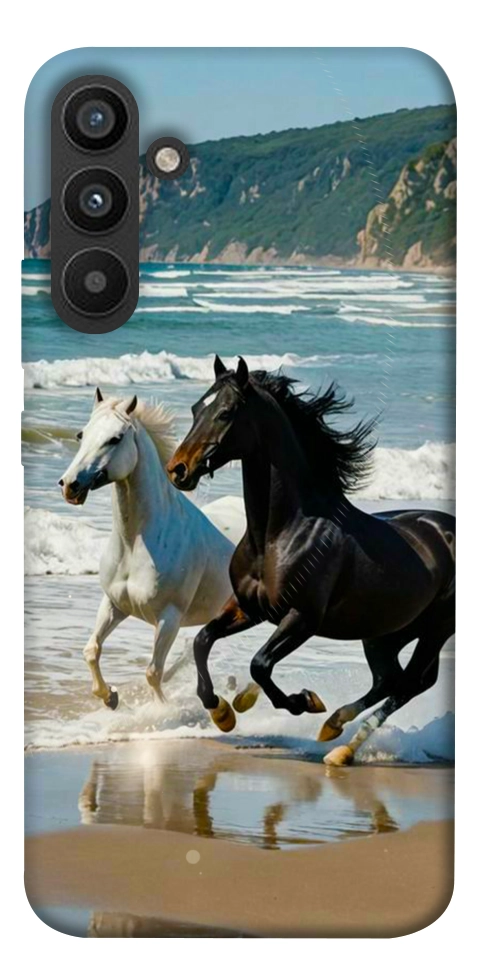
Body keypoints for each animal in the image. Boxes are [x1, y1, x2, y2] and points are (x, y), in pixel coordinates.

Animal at [59, 388, 234, 709]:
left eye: (115, 438)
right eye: (81, 434)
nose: (70, 485)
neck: (135, 544)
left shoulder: (169, 618)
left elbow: (153, 672)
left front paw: (161, 711)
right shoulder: (114, 604)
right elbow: (91, 650)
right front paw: (110, 697)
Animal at [166, 356, 455, 765]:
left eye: (225, 413)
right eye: (195, 409)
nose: (178, 469)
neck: (280, 534)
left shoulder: (302, 618)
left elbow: (260, 663)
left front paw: (303, 701)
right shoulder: (248, 608)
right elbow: (202, 641)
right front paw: (222, 712)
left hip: (435, 629)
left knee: (410, 683)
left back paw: (341, 746)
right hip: (385, 632)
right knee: (390, 679)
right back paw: (334, 728)